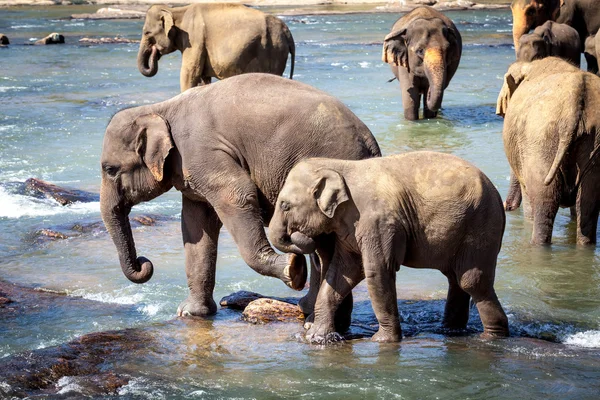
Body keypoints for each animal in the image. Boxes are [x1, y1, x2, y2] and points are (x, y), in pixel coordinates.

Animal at [98, 73, 380, 318]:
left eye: (109, 170)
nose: (144, 263)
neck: (160, 109)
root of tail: (371, 144)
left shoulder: (203, 153)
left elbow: (237, 195)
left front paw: (293, 270)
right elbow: (195, 225)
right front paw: (191, 313)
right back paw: (310, 308)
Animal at [137, 3, 296, 91]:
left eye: (147, 32)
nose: (154, 50)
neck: (175, 11)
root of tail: (288, 32)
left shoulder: (194, 38)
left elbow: (190, 73)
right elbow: (203, 77)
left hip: (273, 49)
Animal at [270, 152, 508, 342]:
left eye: (285, 205)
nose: (297, 268)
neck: (339, 166)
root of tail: (499, 198)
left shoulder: (377, 222)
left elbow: (377, 271)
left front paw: (382, 340)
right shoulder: (350, 227)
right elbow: (343, 273)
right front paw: (317, 337)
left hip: (481, 226)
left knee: (471, 281)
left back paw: (492, 337)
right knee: (456, 279)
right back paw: (451, 330)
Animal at [494, 55, 600, 244]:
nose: (507, 207)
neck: (529, 65)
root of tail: (574, 103)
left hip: (540, 143)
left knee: (544, 200)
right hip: (592, 143)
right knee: (588, 202)